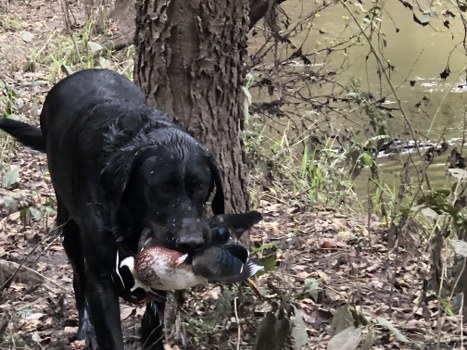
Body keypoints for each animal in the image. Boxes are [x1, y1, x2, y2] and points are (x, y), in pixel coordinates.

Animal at [0, 69, 227, 350]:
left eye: (201, 185)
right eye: (160, 188)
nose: (191, 242)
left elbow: (154, 320)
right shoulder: (101, 280)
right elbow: (109, 331)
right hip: (69, 230)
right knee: (78, 279)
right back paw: (86, 329)